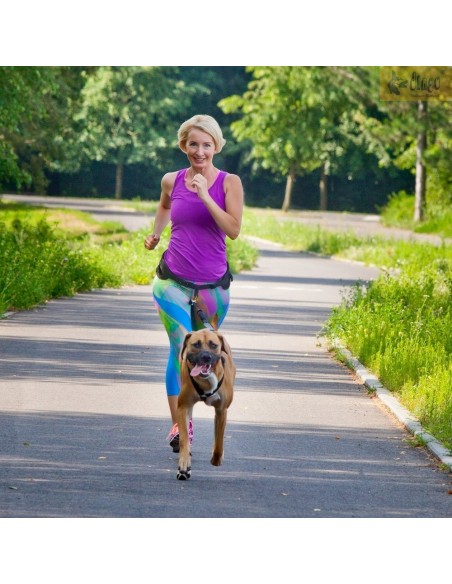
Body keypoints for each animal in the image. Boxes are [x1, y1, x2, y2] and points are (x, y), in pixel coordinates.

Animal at [175, 326, 235, 482]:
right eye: (196, 344)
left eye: (213, 345)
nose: (206, 357)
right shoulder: (183, 407)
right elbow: (184, 439)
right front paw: (184, 466)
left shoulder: (221, 410)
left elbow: (219, 441)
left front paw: (216, 459)